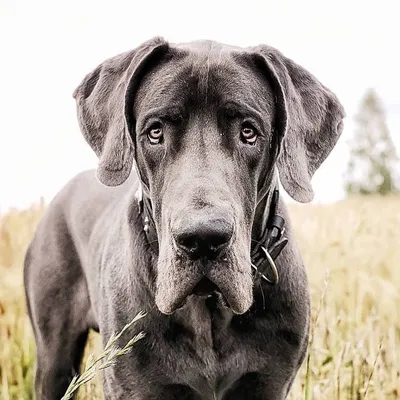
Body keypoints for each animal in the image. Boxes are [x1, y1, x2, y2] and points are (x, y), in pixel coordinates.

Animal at [24, 37, 344, 400]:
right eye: (155, 132)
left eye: (248, 132)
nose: (203, 238)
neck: (208, 310)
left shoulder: (268, 384)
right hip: (54, 360)